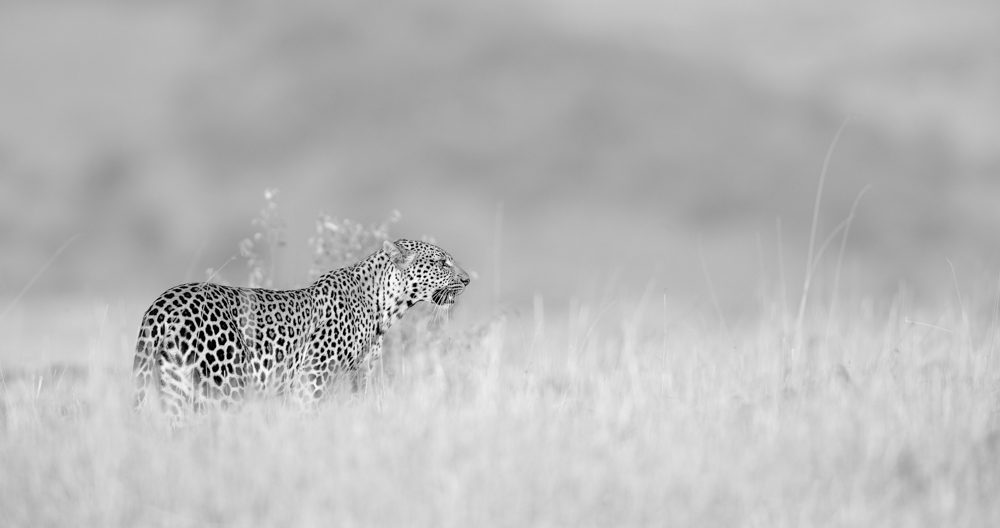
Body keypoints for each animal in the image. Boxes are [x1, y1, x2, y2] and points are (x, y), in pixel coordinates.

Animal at [132, 239, 470, 424]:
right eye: (442, 262)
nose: (467, 280)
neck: (383, 306)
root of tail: (163, 303)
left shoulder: (357, 378)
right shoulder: (313, 379)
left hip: (174, 387)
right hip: (225, 388)